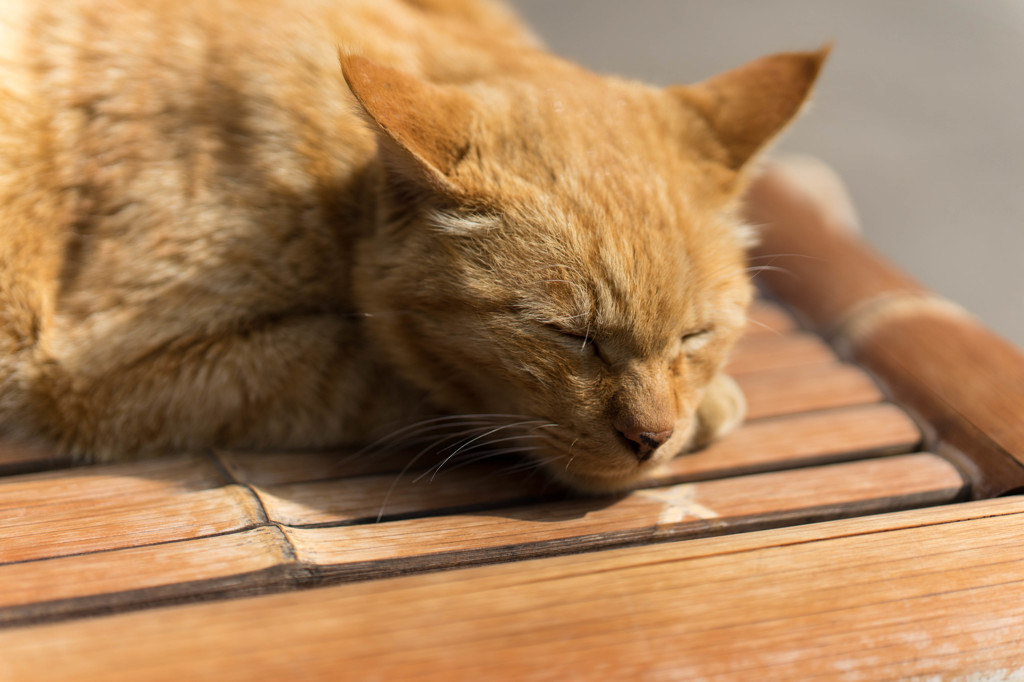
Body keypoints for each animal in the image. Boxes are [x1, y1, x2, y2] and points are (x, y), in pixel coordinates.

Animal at [0, 0, 823, 489]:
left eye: (696, 335)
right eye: (570, 337)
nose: (651, 437)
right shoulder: (113, 369)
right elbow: (382, 372)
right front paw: (709, 410)